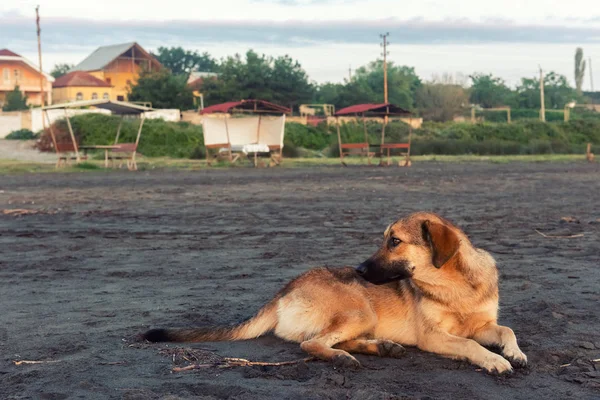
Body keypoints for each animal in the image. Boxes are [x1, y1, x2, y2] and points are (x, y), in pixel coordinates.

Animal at [143, 212, 528, 376]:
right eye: (384, 239)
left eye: (394, 241)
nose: (358, 270)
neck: (455, 286)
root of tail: (285, 289)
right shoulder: (435, 336)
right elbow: (470, 345)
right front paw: (495, 361)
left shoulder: (482, 324)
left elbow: (506, 329)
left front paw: (514, 352)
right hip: (361, 311)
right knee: (312, 344)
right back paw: (345, 358)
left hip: (361, 318)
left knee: (333, 340)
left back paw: (381, 348)